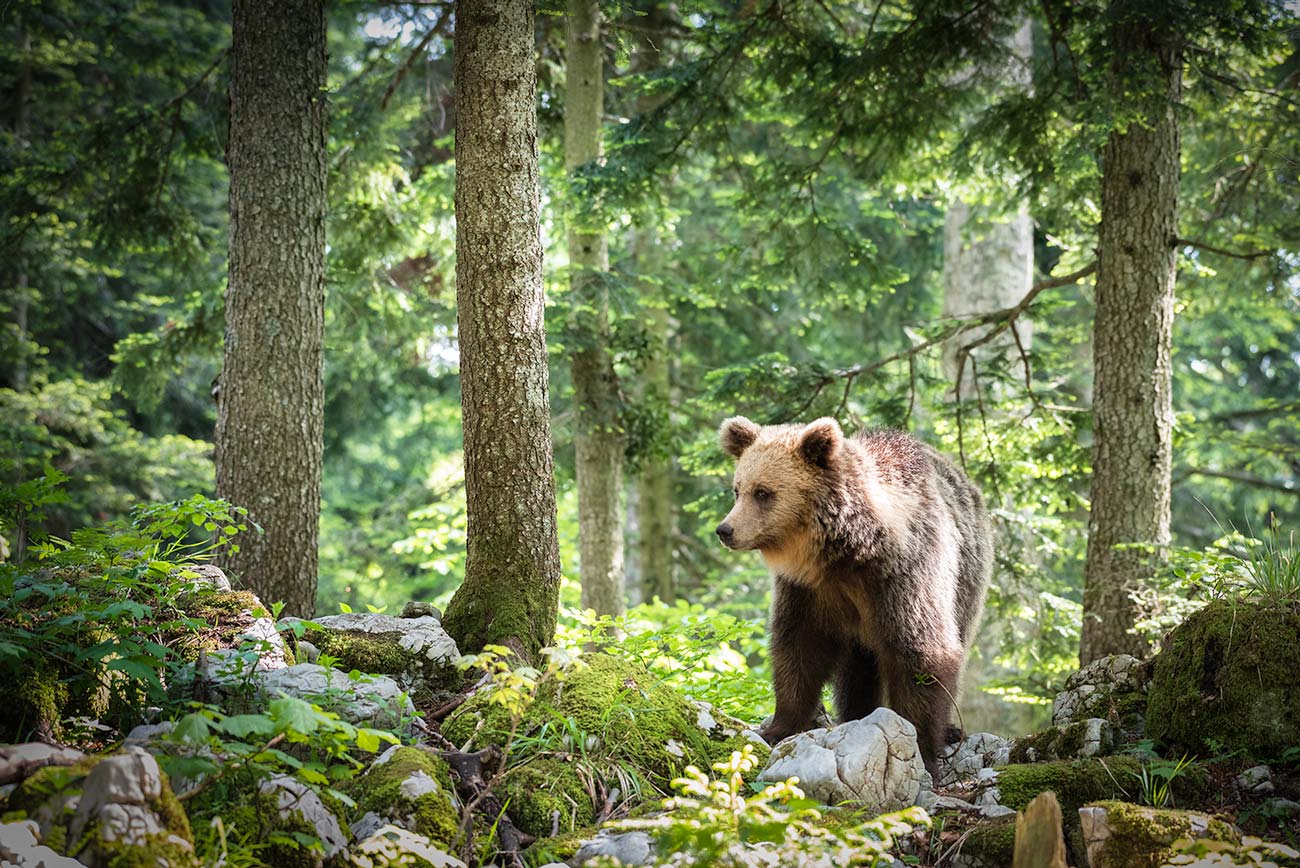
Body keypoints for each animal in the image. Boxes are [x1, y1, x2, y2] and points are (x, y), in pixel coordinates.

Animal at [717, 415, 987, 769]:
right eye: (738, 490)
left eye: (763, 492)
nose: (725, 530)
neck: (848, 554)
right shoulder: (808, 591)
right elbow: (798, 646)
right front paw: (779, 727)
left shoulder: (903, 577)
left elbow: (924, 653)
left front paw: (924, 749)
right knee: (857, 670)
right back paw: (857, 713)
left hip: (967, 583)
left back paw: (950, 729)